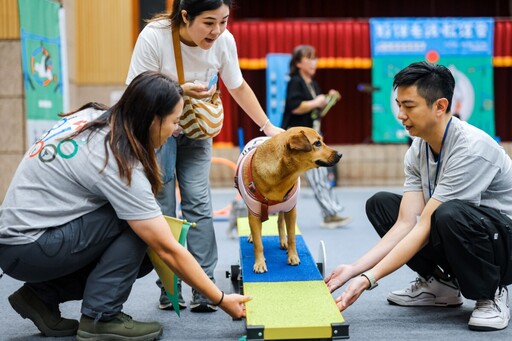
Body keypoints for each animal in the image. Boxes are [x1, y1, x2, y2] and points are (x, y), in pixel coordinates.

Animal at [235, 126, 340, 272]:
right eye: (317, 143)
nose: (340, 154)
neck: (282, 176)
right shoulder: (254, 212)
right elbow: (258, 242)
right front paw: (260, 262)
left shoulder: (291, 210)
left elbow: (292, 237)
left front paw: (293, 256)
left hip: (284, 207)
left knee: (280, 221)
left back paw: (283, 240)